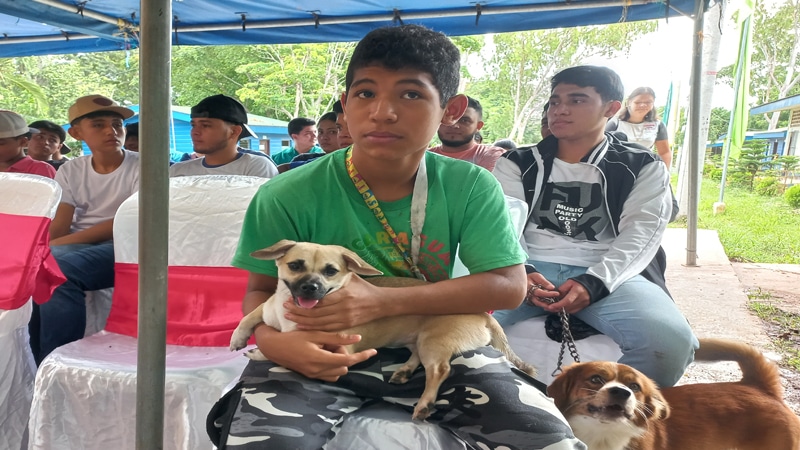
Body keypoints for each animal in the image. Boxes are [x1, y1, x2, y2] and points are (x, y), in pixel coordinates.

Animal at [228, 241, 536, 420]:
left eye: (331, 271)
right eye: (295, 266)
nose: (310, 287)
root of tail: (483, 313)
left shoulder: (334, 347)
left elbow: (284, 348)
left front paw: (260, 352)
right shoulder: (267, 310)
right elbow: (251, 317)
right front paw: (240, 338)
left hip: (432, 342)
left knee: (439, 370)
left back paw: (424, 403)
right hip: (418, 340)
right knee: (418, 358)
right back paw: (404, 371)